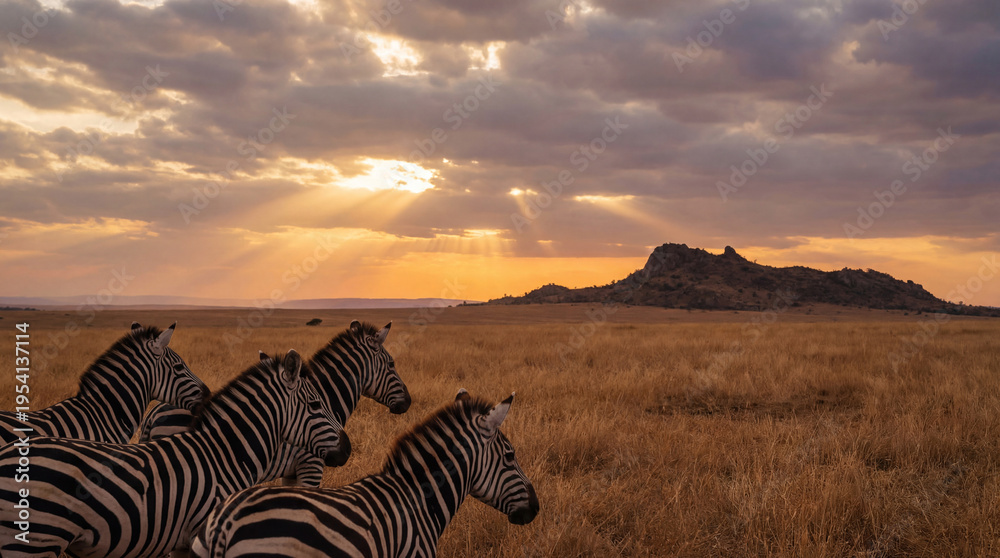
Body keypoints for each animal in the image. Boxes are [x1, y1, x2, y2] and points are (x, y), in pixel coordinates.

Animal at [0, 349, 350, 558]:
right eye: (316, 404)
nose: (347, 449)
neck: (224, 455)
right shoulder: (203, 530)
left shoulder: (185, 541)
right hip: (33, 542)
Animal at [138, 320, 411, 487]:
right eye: (392, 364)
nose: (407, 403)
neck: (325, 397)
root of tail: (153, 414)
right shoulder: (311, 465)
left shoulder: (291, 472)